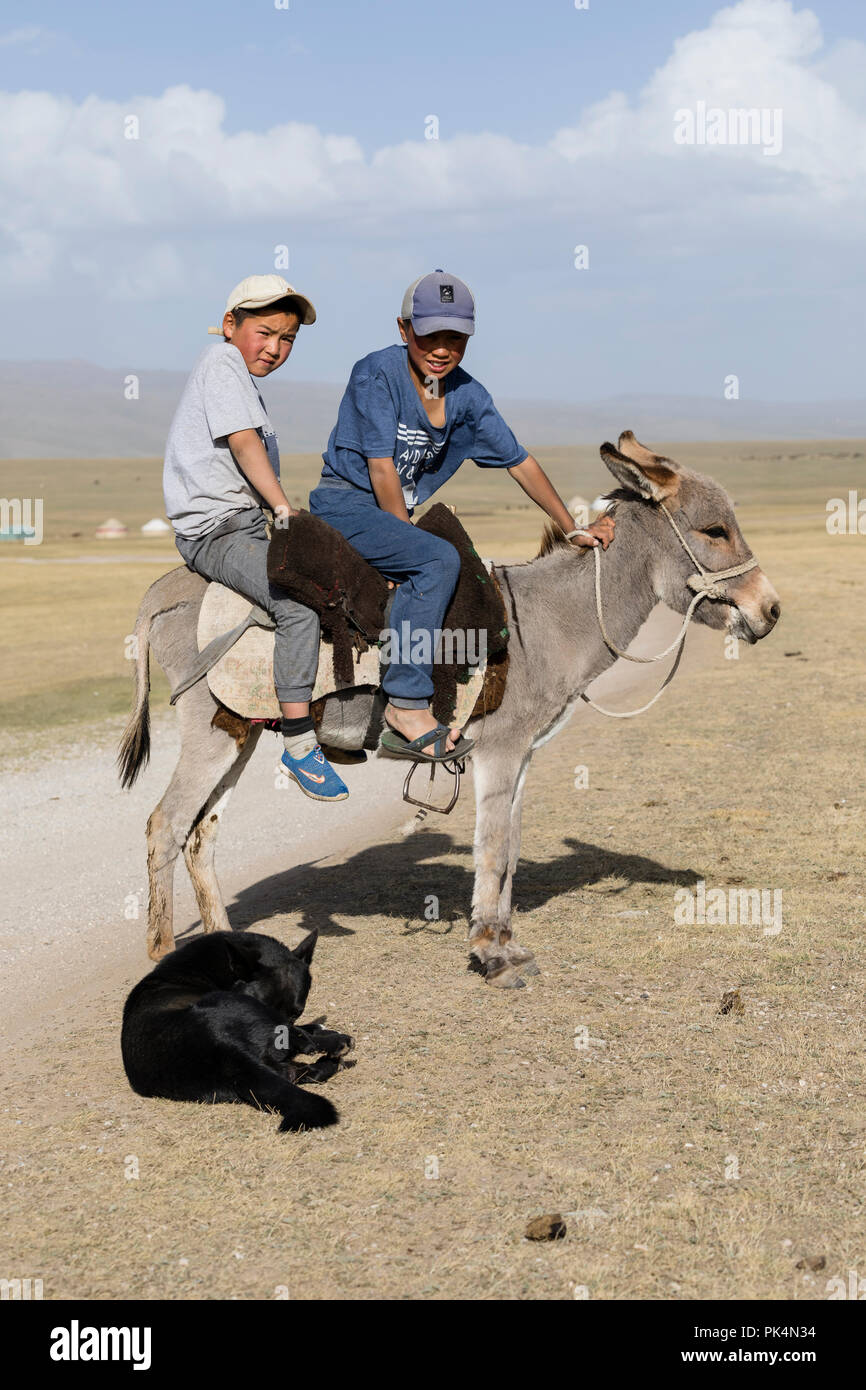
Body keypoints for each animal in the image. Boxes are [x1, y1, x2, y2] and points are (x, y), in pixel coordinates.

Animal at [122, 928, 353, 1134]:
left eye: (297, 1012)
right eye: (265, 1004)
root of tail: (224, 1056)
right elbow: (301, 1033)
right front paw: (321, 1033)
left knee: (294, 1071)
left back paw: (328, 1062)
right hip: (233, 1002)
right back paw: (336, 1045)